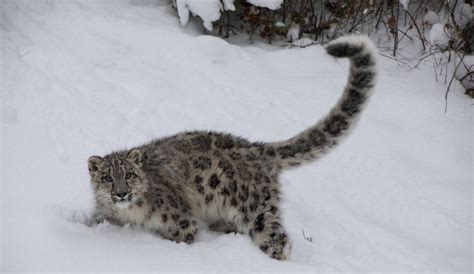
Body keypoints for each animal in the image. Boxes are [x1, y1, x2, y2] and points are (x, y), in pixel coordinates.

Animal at [87, 35, 376, 260]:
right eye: (107, 177)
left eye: (129, 175)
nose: (121, 193)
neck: (129, 214)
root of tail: (260, 149)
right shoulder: (107, 215)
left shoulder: (180, 218)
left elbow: (182, 236)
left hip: (258, 211)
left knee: (278, 240)